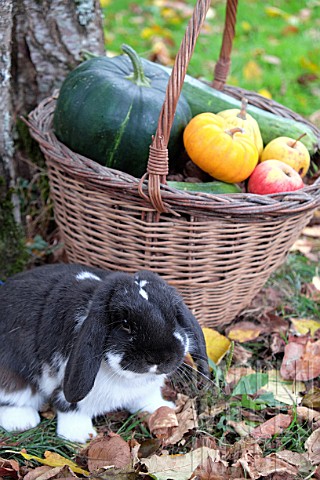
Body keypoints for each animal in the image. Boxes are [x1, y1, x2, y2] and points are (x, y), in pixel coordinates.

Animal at [0, 262, 209, 442]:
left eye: (174, 316)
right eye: (125, 324)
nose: (160, 358)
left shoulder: (146, 390)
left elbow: (148, 398)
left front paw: (162, 408)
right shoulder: (65, 385)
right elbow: (69, 406)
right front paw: (80, 435)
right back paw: (23, 421)